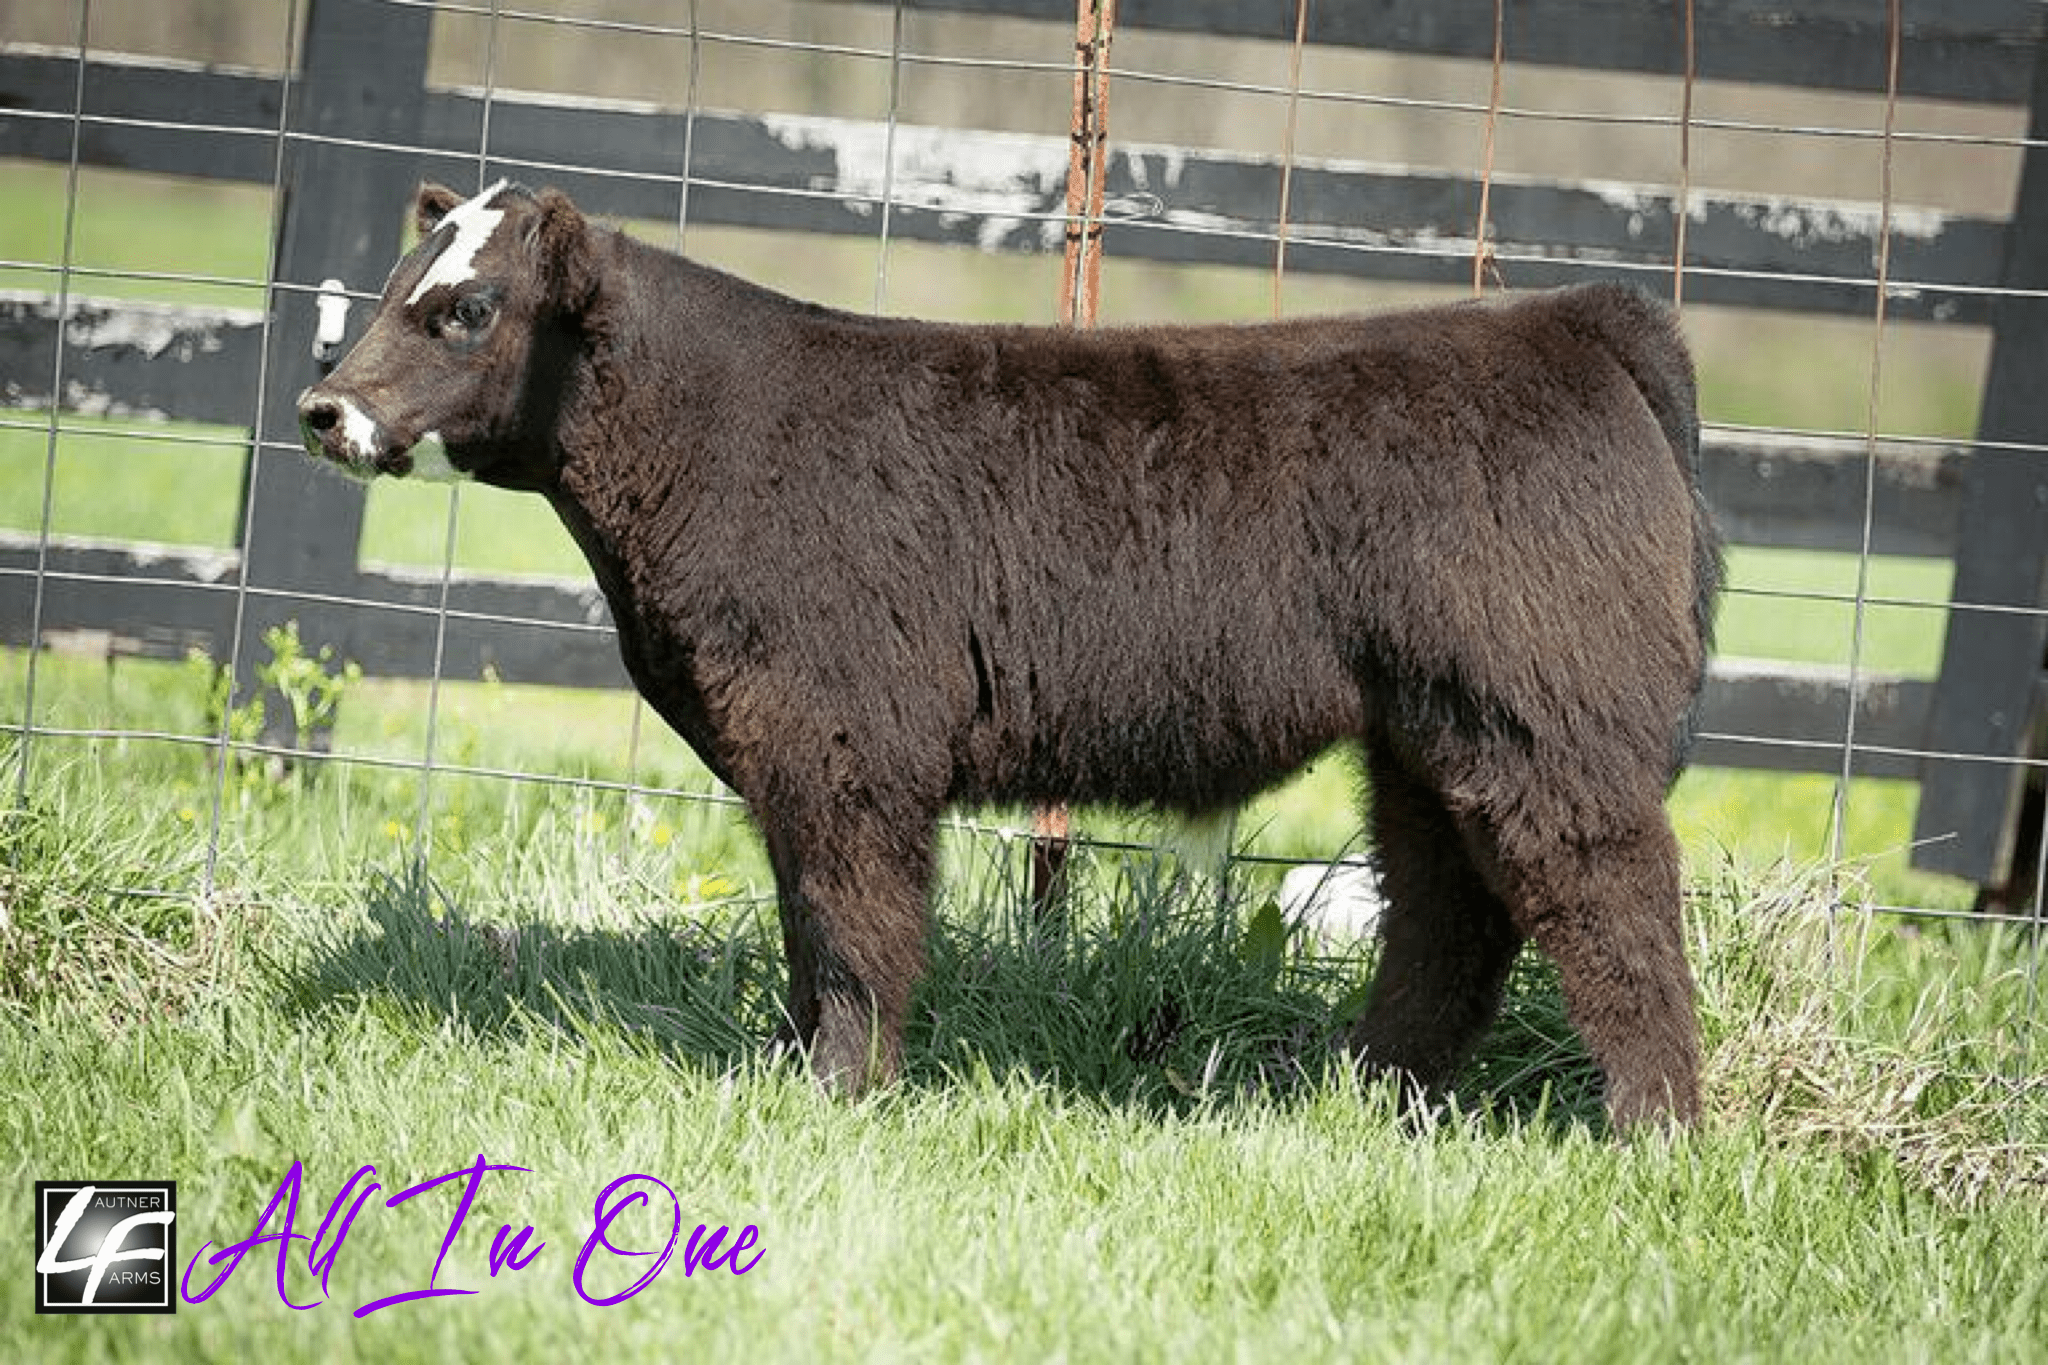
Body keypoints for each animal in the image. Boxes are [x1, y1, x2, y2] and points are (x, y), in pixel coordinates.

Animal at [298, 180, 1722, 1130]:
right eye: (392, 288)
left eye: (469, 308)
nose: (322, 406)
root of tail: (1574, 319)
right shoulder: (794, 754)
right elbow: (807, 922)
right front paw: (793, 1069)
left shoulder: (844, 740)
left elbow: (855, 925)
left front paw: (839, 1093)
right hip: (1428, 731)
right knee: (1448, 910)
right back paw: (1363, 1096)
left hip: (1545, 712)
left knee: (1609, 894)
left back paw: (1649, 1132)